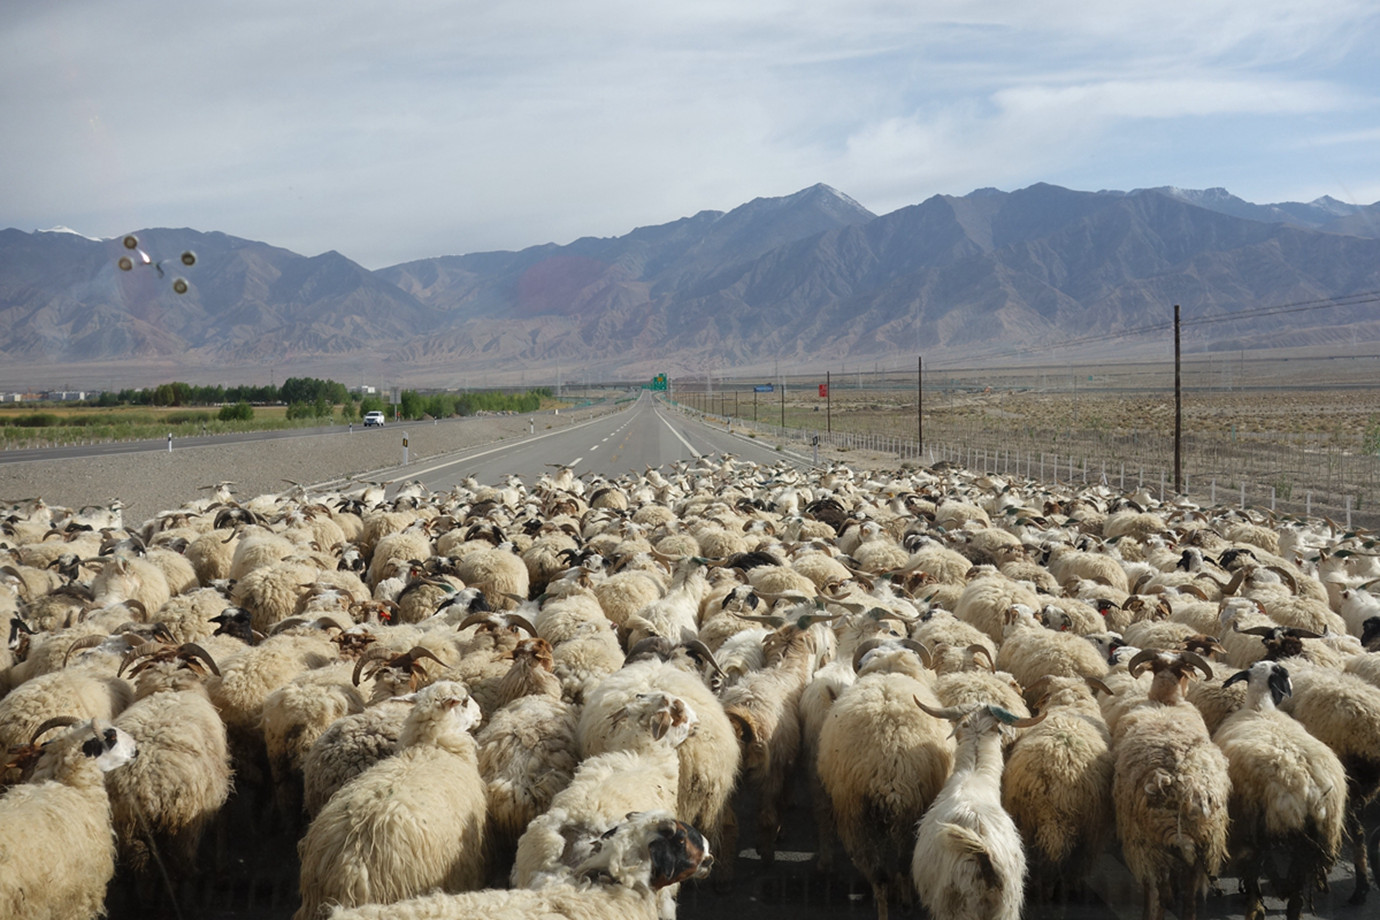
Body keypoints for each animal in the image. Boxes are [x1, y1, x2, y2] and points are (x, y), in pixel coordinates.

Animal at [1219, 662, 1346, 920]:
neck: (1260, 707)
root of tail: (1308, 788)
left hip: (1258, 825)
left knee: (1257, 871)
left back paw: (1257, 903)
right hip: (1311, 838)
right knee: (1295, 896)